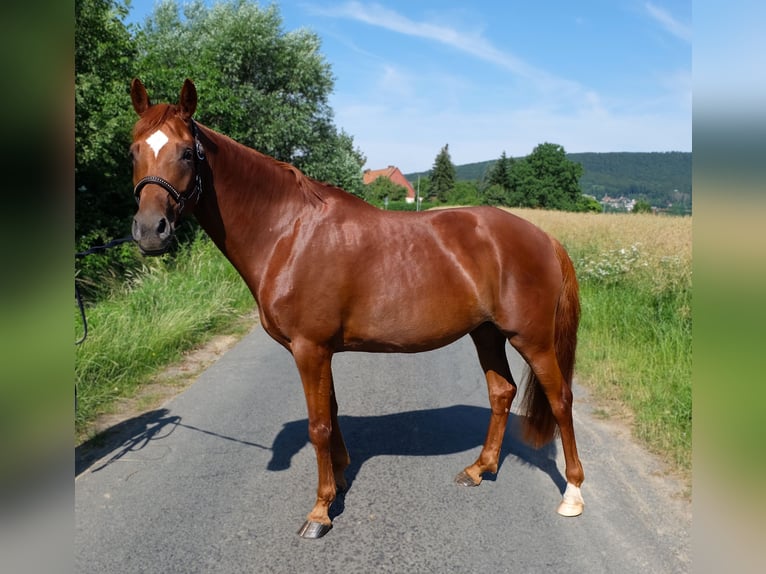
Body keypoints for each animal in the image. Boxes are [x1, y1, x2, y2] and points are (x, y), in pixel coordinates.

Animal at [129, 78, 585, 538]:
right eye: (133, 150)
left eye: (187, 152)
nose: (150, 231)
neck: (288, 233)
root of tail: (545, 239)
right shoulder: (319, 350)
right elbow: (330, 414)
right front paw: (340, 481)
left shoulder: (310, 349)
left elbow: (318, 426)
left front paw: (319, 512)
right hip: (486, 333)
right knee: (502, 392)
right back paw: (479, 469)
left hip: (532, 340)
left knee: (560, 399)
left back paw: (573, 494)